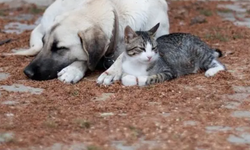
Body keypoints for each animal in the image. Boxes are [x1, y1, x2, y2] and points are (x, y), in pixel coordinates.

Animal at [6, 0, 170, 84]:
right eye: (45, 42)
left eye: (59, 48)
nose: (27, 72)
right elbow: (87, 57)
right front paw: (74, 69)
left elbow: (121, 56)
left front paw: (111, 71)